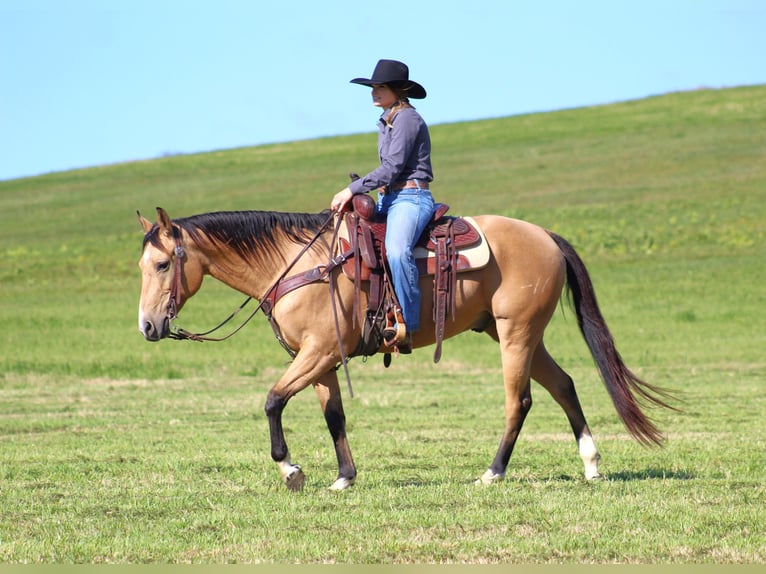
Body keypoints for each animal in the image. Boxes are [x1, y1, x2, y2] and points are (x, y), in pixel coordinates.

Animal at [140, 207, 680, 490]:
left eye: (164, 264)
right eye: (143, 265)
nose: (147, 326)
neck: (301, 264)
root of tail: (544, 235)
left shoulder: (318, 354)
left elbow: (272, 400)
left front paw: (290, 468)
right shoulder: (321, 361)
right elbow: (333, 416)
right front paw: (344, 477)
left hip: (516, 333)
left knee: (520, 400)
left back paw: (492, 473)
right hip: (519, 334)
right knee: (564, 386)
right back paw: (591, 465)